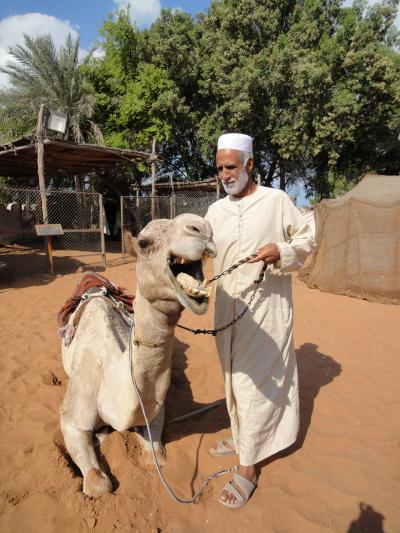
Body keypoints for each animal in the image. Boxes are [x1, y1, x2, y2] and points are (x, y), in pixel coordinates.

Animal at [59, 214, 216, 496]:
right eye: (143, 243)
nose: (201, 228)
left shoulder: (155, 410)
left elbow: (156, 456)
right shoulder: (72, 418)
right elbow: (98, 484)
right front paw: (100, 436)